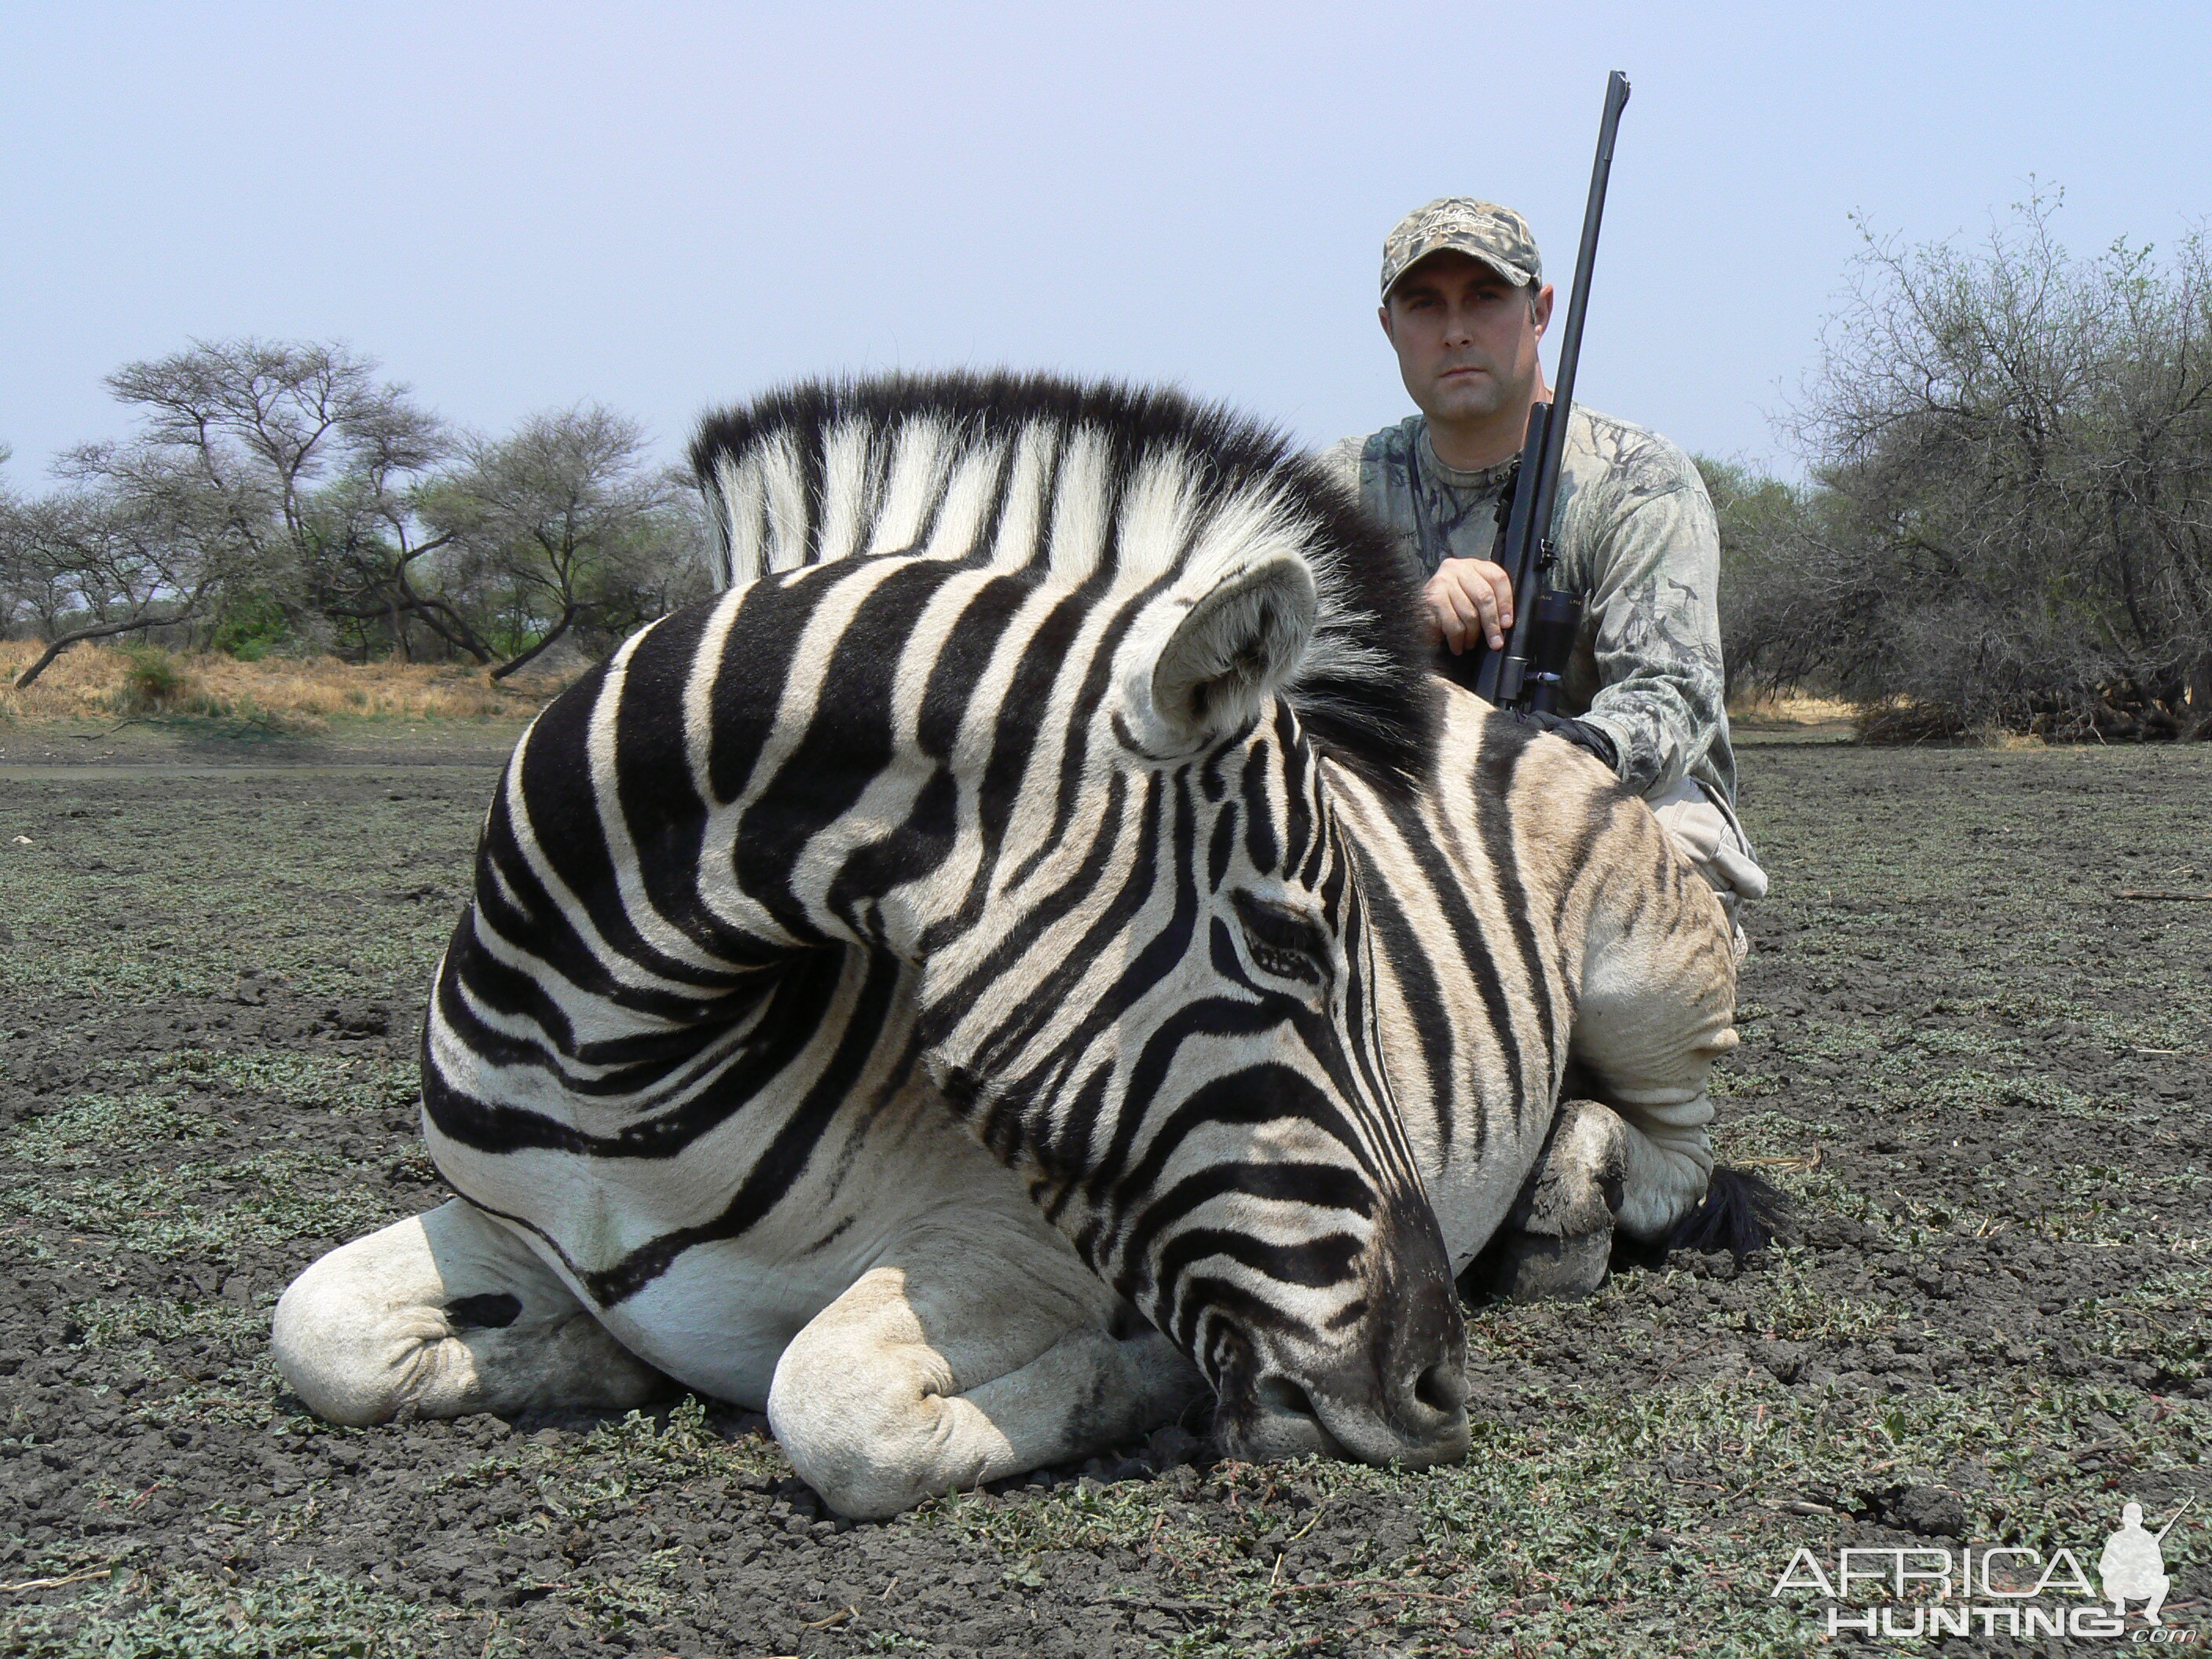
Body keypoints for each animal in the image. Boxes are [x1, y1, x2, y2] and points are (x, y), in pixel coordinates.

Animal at [272, 373, 1743, 1522]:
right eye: (1289, 943)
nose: (1441, 1384)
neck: (610, 1051)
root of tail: (1498, 711)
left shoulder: (1018, 1237)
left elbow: (836, 1402)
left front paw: (1137, 1380)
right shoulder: (507, 1224)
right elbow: (315, 1326)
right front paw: (597, 1363)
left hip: (1647, 983)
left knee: (1672, 1150)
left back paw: (1562, 1207)